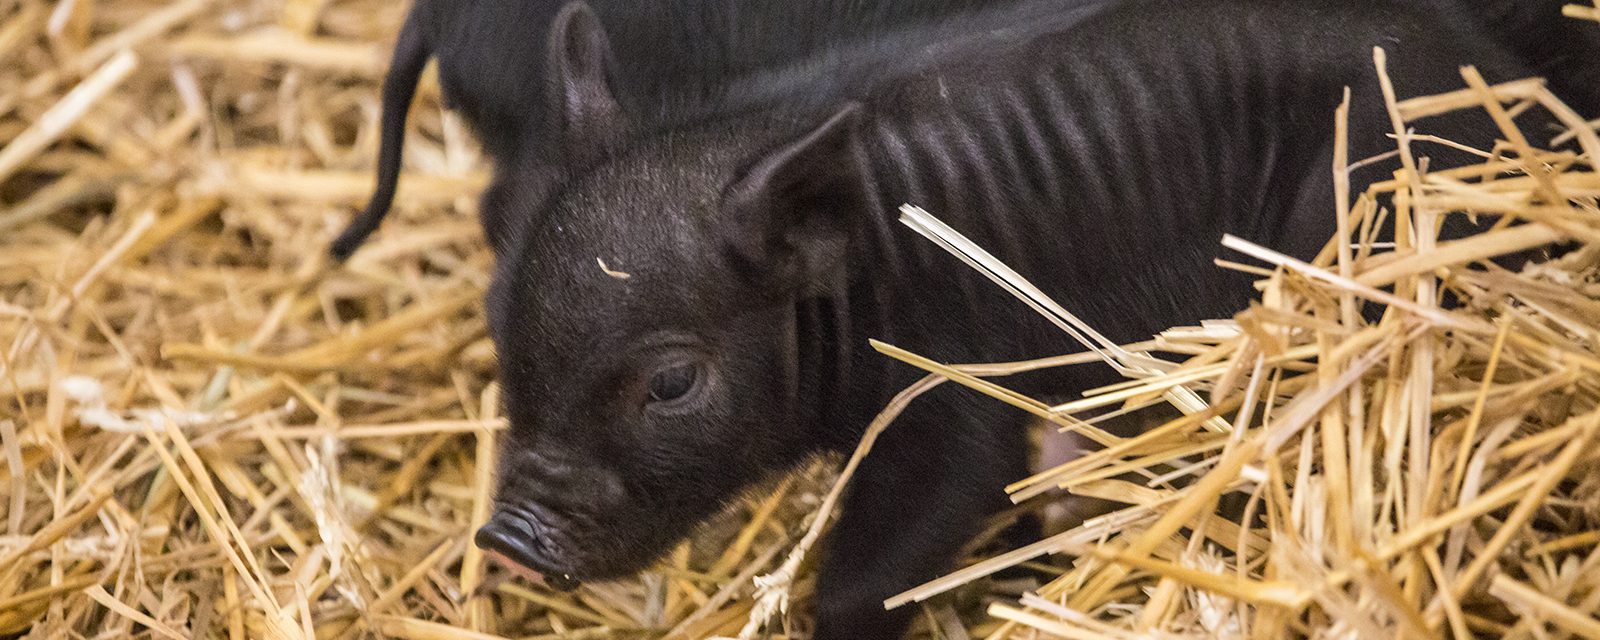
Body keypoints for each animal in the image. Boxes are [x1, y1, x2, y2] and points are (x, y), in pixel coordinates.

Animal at [467, 0, 1593, 636]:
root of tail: (1530, 104)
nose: (505, 537)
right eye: (499, 321)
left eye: (671, 381)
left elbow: (879, 563)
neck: (868, 272)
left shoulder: (956, 382)